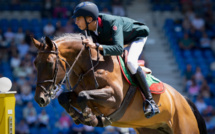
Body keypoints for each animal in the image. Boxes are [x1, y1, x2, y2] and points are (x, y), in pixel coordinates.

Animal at [31, 34, 207, 134]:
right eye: (34, 63)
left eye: (49, 64)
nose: (40, 99)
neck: (89, 65)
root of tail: (184, 100)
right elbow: (65, 98)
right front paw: (80, 116)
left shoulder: (114, 98)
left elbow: (83, 95)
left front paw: (89, 117)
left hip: (185, 128)